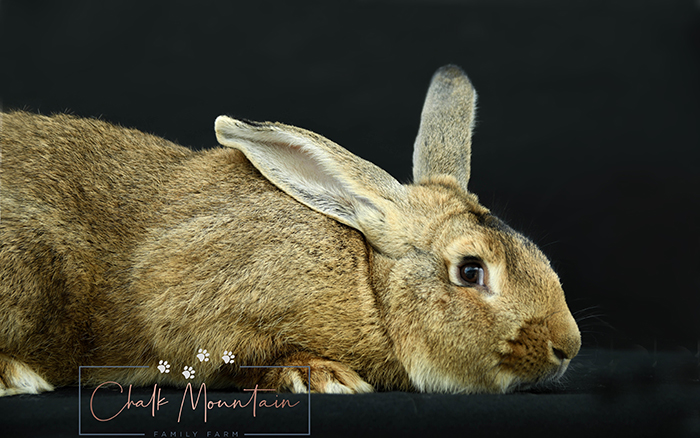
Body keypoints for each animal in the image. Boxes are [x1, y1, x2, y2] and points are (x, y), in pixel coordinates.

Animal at [0, 65, 580, 396]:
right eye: (470, 270)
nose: (569, 346)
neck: (372, 288)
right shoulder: (198, 301)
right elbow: (233, 355)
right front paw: (324, 376)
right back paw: (18, 377)